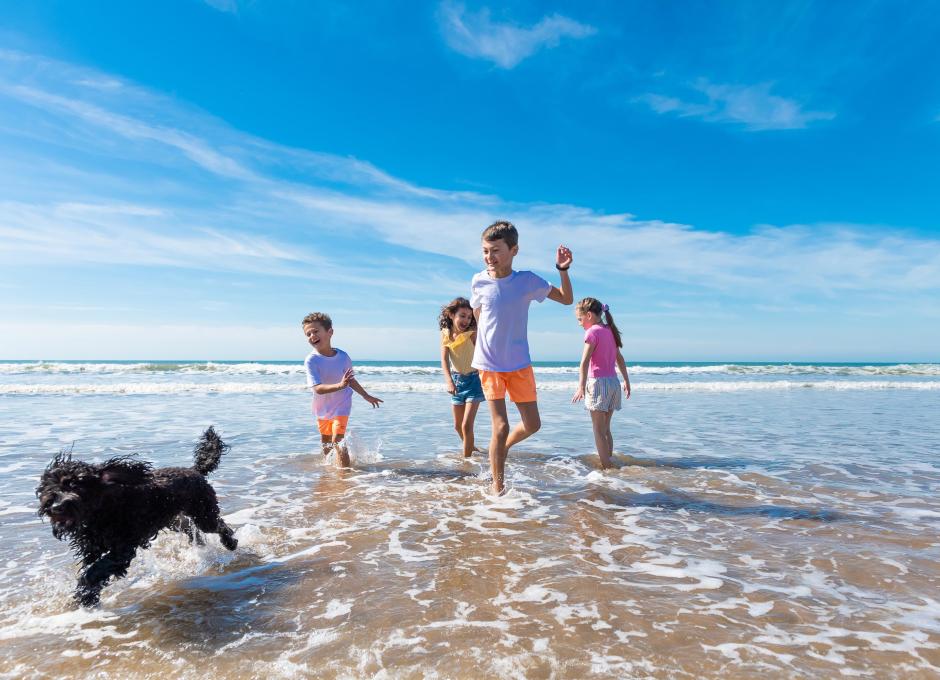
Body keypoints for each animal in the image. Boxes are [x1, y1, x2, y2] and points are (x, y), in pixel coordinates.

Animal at [39, 428, 239, 608]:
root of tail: (194, 470)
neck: (103, 510)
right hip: (173, 519)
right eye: (49, 488)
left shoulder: (122, 548)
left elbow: (95, 571)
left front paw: (86, 596)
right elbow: (90, 567)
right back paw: (200, 544)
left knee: (219, 525)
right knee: (188, 526)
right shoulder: (92, 548)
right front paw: (86, 594)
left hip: (203, 513)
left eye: (75, 485)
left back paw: (230, 542)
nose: (56, 507)